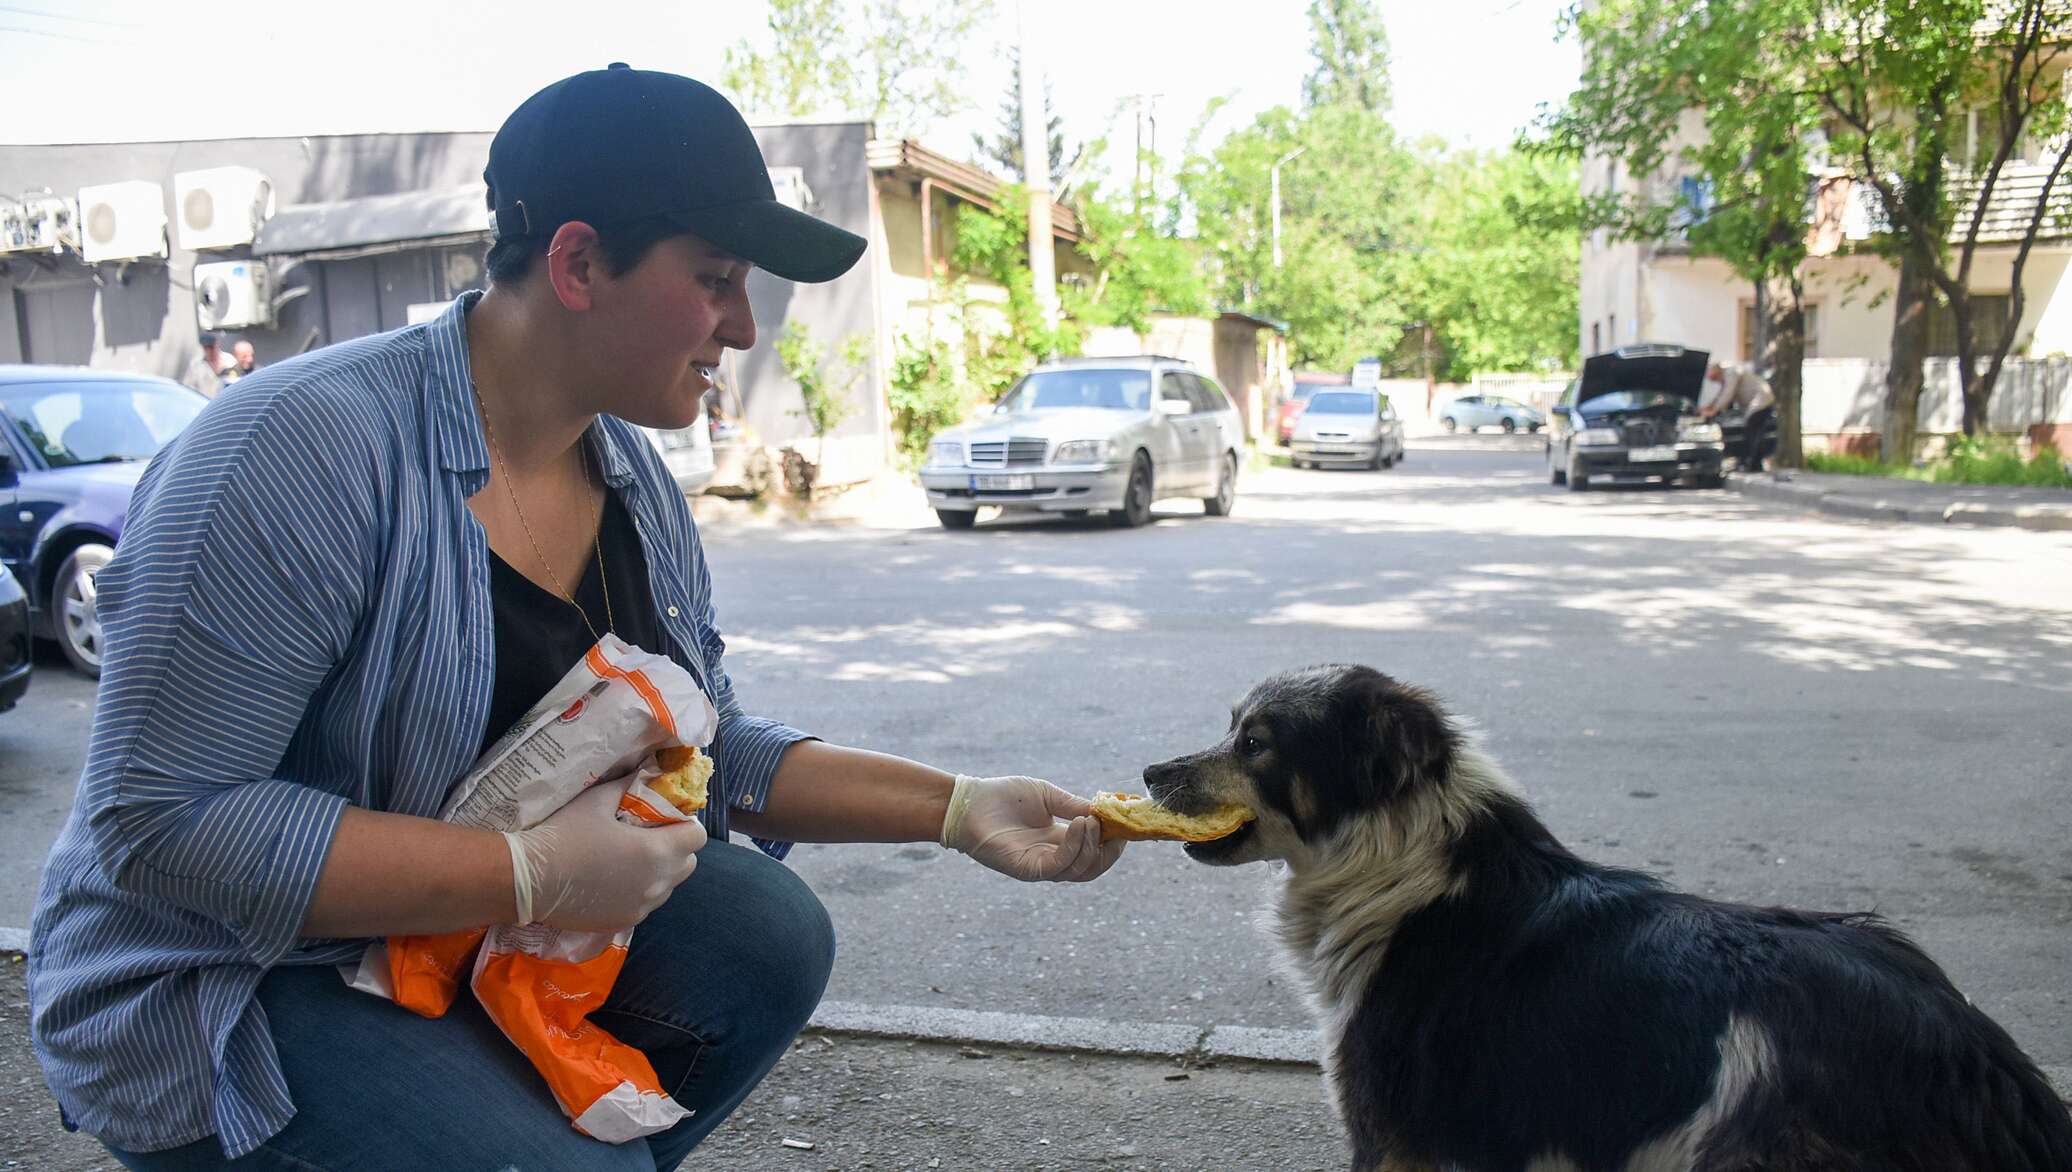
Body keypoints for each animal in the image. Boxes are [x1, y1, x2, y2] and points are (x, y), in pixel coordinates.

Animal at [1152, 666, 2072, 1167]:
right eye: (1232, 728)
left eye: (1256, 743)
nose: (1152, 772)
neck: (1396, 866)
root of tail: (1977, 1060)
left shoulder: (1395, 1137)